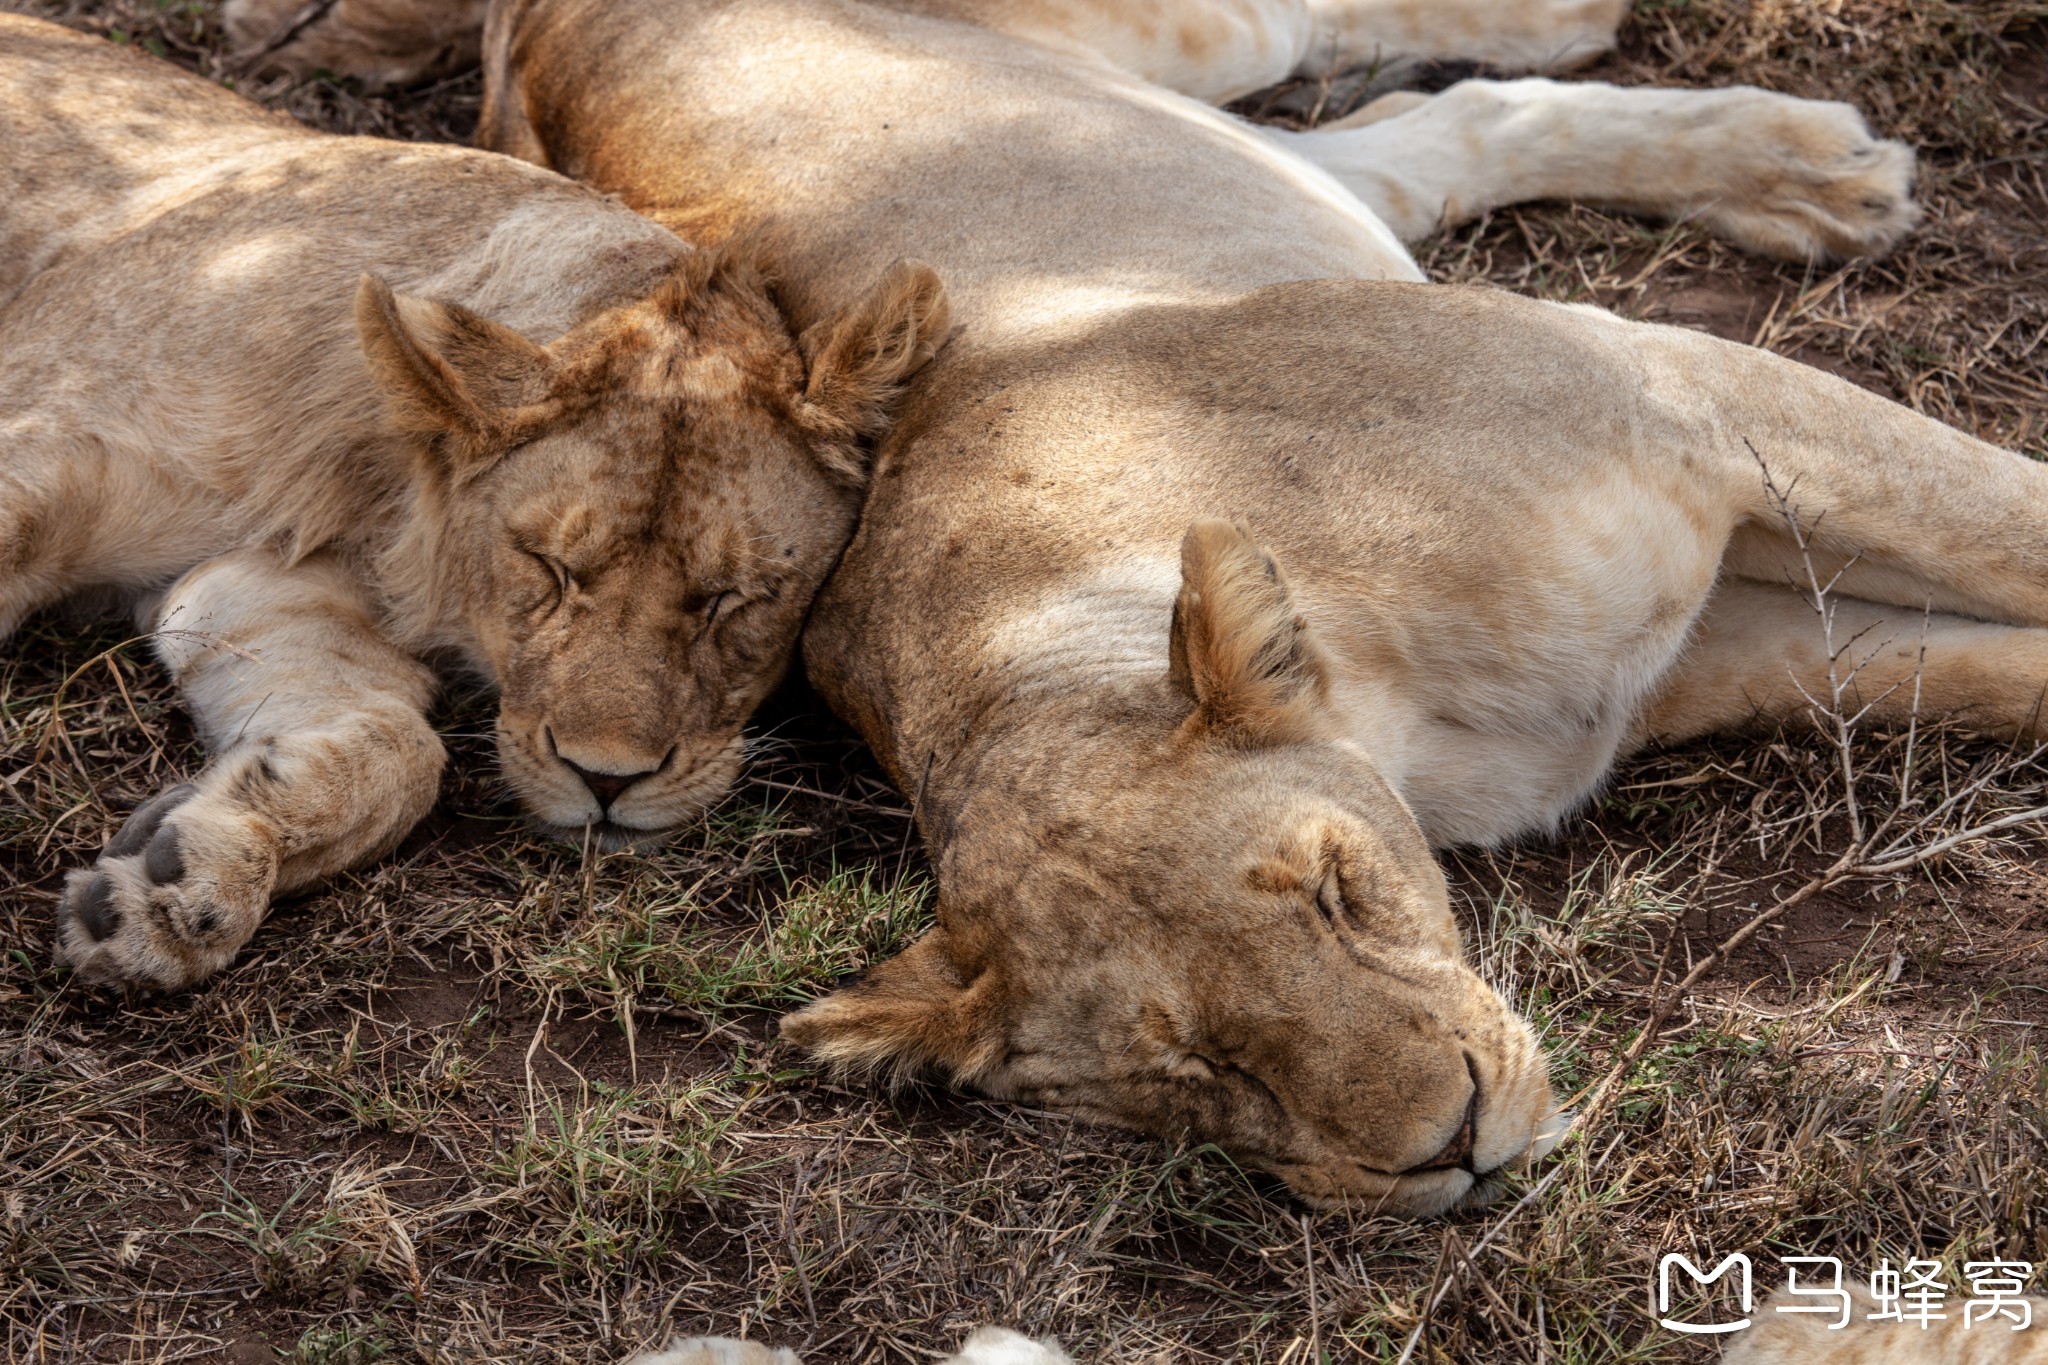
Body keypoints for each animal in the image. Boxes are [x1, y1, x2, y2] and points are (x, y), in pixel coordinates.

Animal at [6, 13, 950, 994]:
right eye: (549, 567)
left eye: (733, 599)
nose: (606, 782)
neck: (383, 486)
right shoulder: (35, 453)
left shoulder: (240, 587)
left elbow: (403, 748)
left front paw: (182, 874)